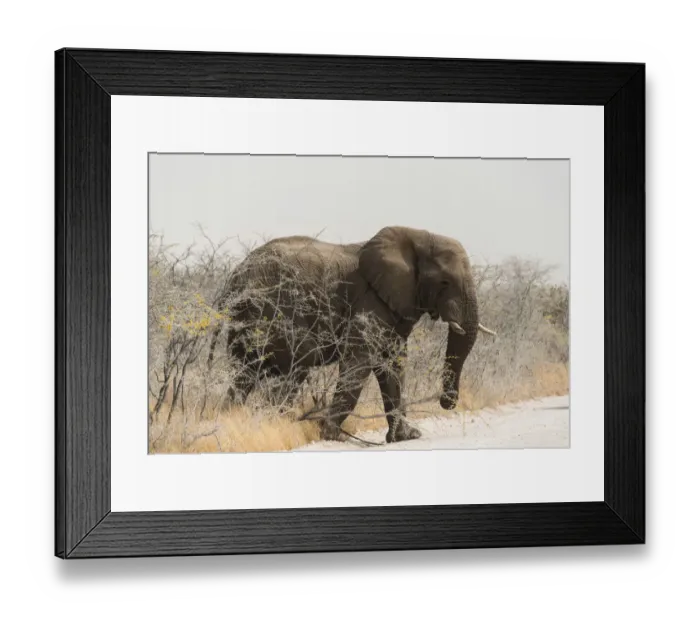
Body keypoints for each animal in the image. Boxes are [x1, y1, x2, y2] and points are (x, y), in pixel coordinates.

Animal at [208, 226, 495, 444]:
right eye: (445, 282)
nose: (447, 403)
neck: (418, 236)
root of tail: (234, 278)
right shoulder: (370, 300)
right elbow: (360, 360)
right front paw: (332, 435)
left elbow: (393, 365)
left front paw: (406, 436)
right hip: (270, 310)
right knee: (298, 361)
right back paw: (273, 424)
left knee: (244, 374)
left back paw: (234, 420)